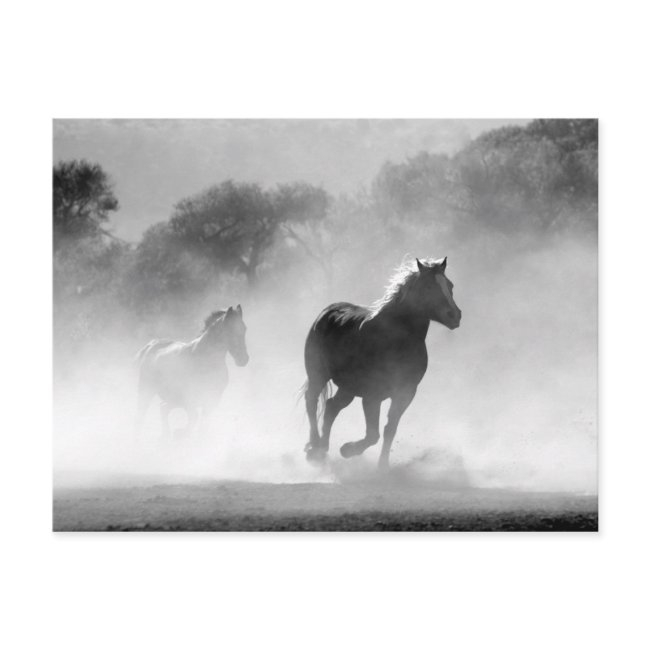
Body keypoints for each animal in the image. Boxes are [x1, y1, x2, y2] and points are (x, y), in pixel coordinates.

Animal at [134, 305, 249, 439]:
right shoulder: (190, 399)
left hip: (174, 399)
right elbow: (193, 420)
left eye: (244, 329)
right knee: (142, 415)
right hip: (146, 391)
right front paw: (180, 433)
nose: (243, 359)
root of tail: (150, 345)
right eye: (230, 330)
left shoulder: (212, 400)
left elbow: (202, 427)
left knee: (163, 408)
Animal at [303, 257, 461, 470]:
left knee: (331, 407)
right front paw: (347, 450)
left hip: (348, 387)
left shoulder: (405, 393)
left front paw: (383, 466)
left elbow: (389, 429)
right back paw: (314, 448)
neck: (396, 340)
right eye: (429, 286)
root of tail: (327, 312)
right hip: (318, 375)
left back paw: (322, 449)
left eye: (450, 285)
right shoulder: (372, 395)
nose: (455, 315)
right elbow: (373, 435)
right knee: (312, 401)